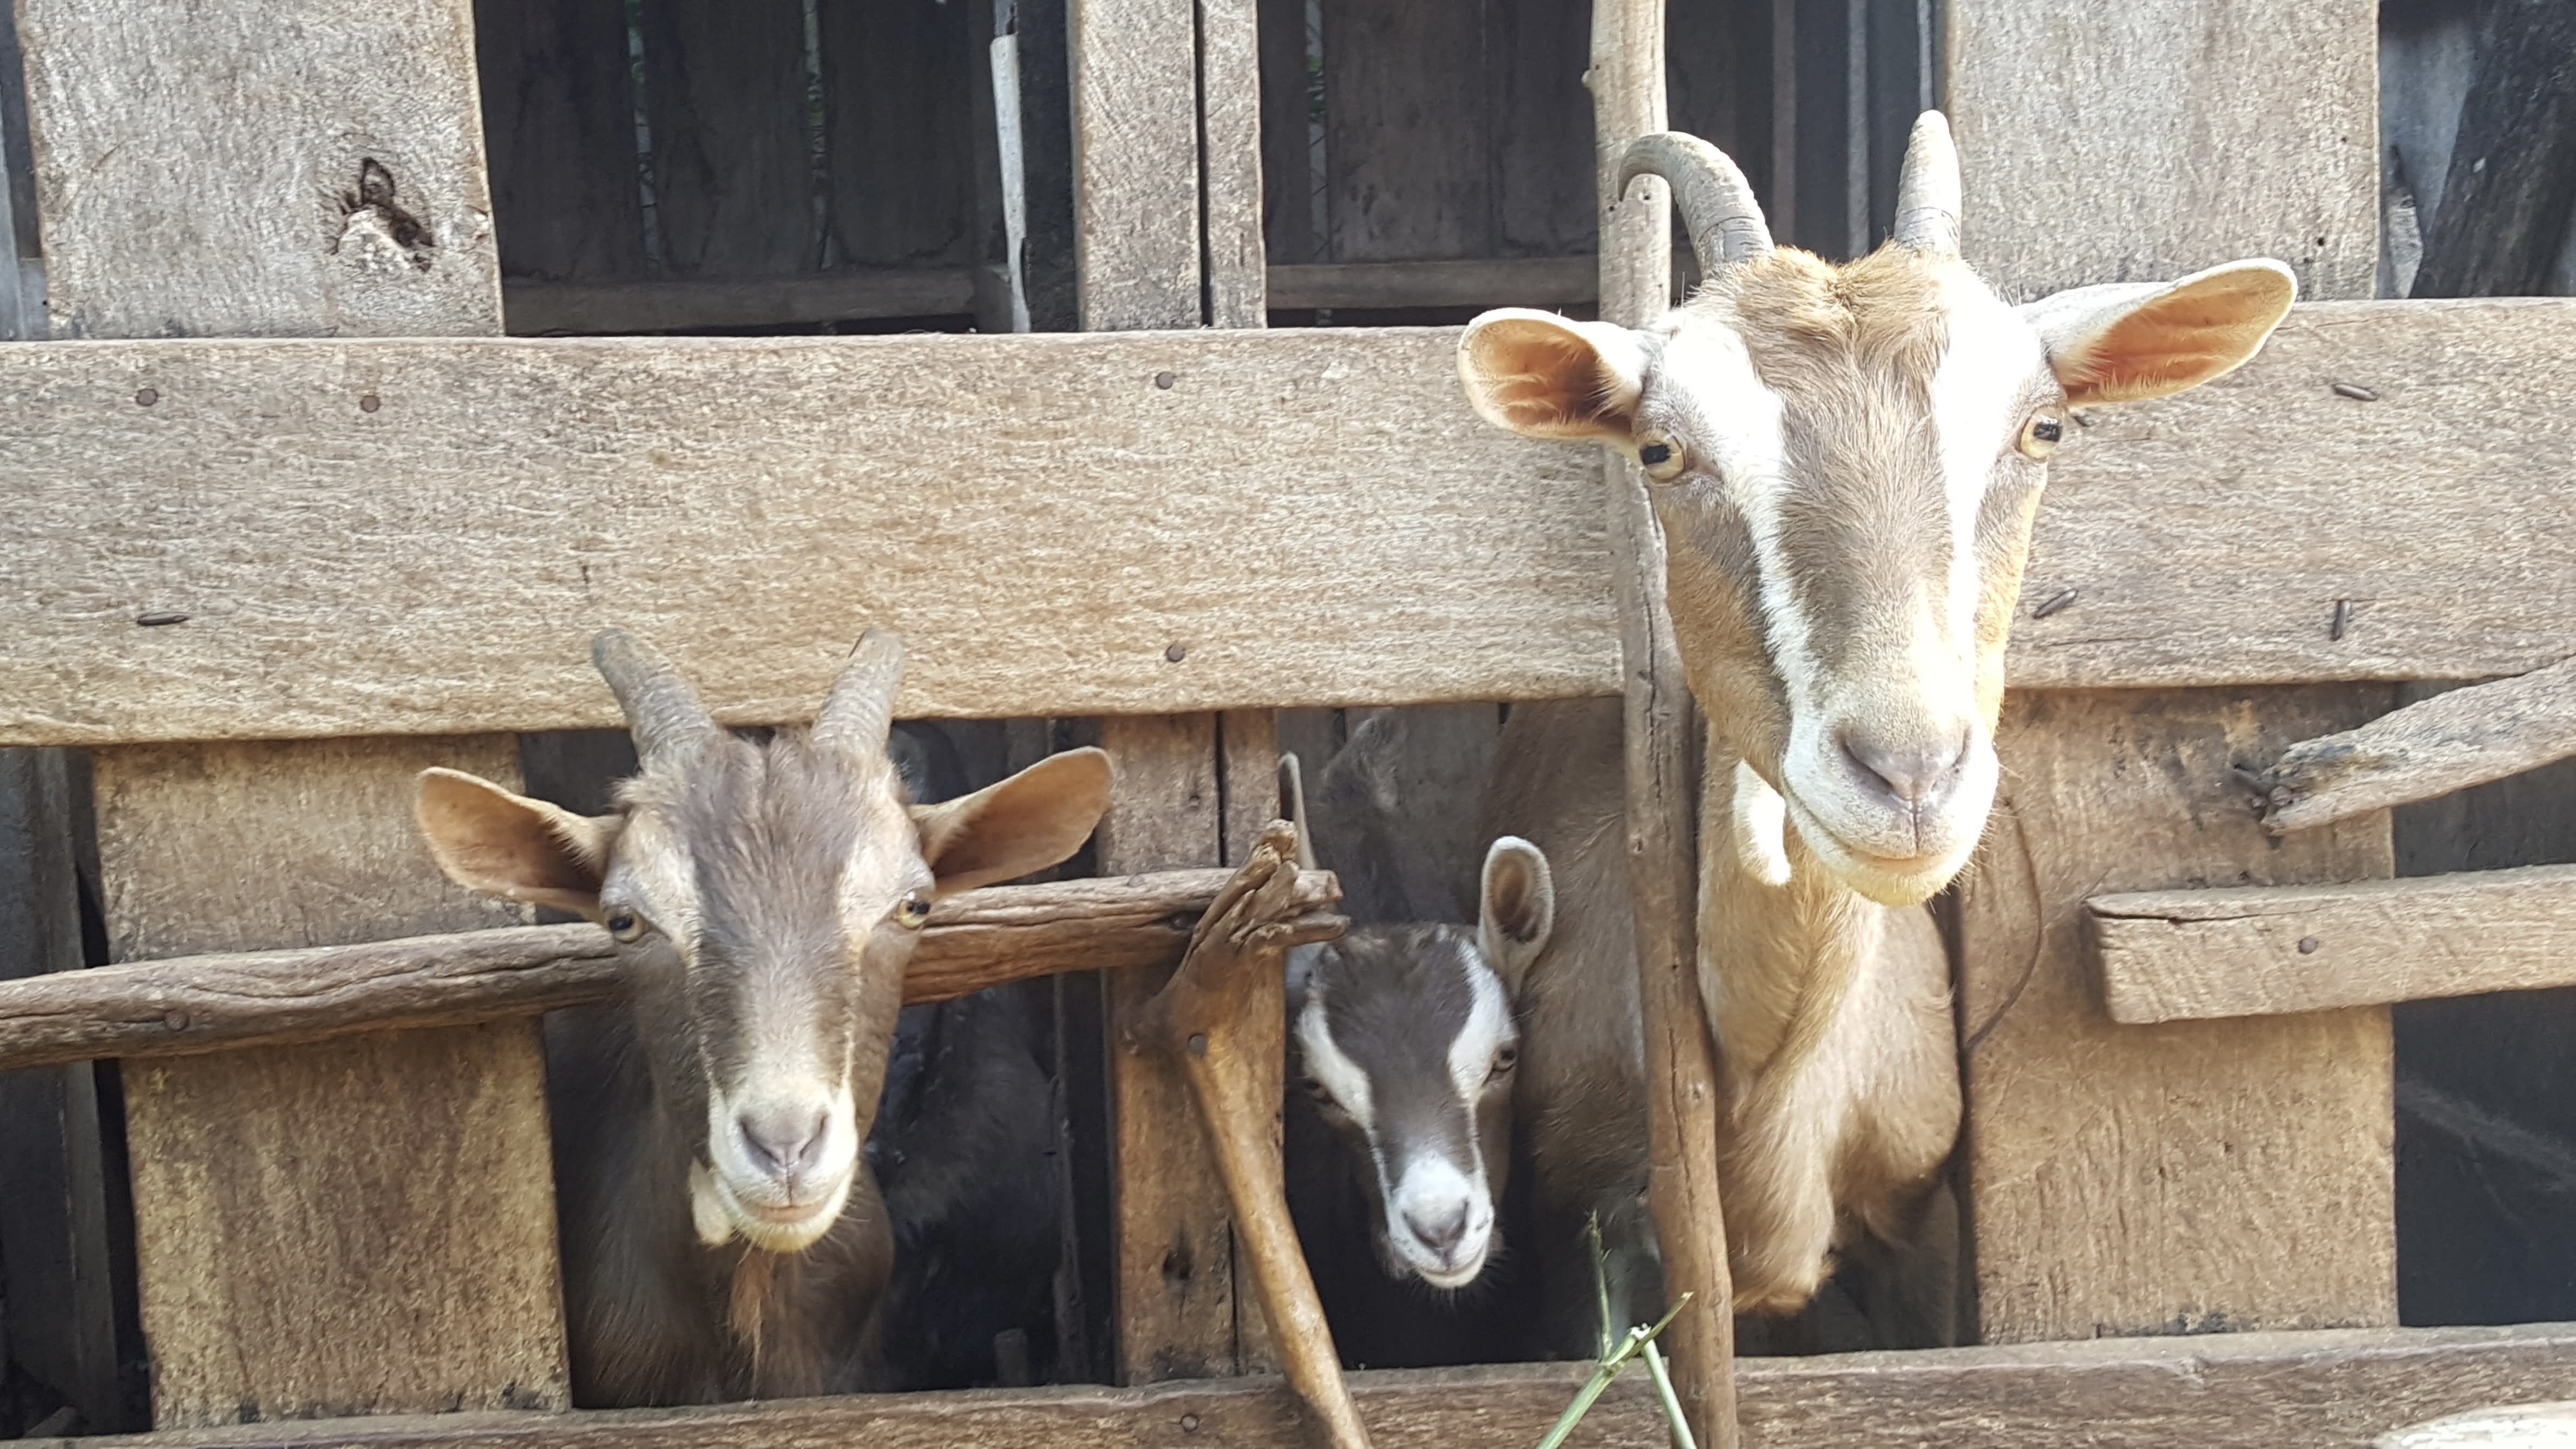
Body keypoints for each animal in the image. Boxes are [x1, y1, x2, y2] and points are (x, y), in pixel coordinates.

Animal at [1463, 113, 2308, 1328]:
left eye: (2043, 429)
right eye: (1663, 451)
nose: (1908, 776)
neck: (1769, 1072)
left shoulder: (1919, 1218)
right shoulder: (1583, 1231)